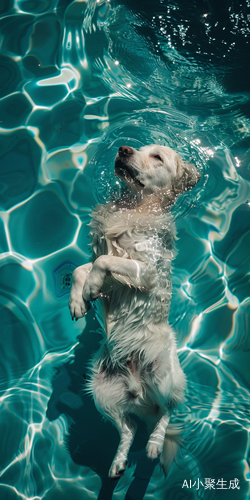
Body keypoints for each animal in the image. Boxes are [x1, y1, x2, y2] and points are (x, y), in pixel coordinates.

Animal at [69, 144, 201, 476]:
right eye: (139, 148)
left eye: (157, 157)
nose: (123, 148)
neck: (133, 206)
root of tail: (139, 392)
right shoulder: (107, 265)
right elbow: (82, 267)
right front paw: (79, 299)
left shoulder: (145, 271)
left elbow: (105, 262)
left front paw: (90, 287)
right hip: (100, 390)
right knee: (128, 428)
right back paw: (118, 462)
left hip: (164, 376)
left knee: (168, 412)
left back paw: (154, 444)